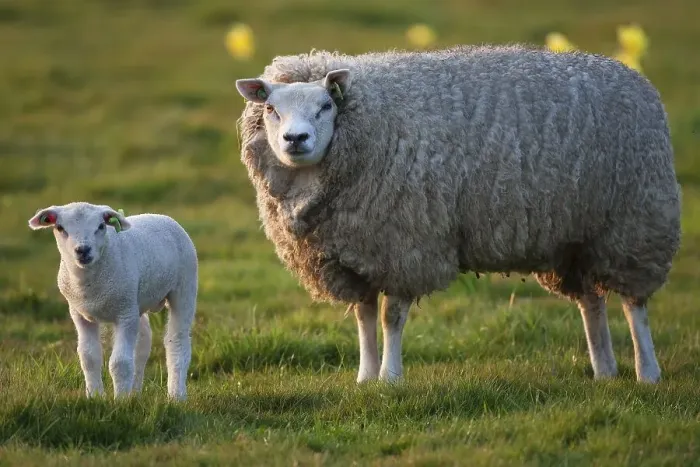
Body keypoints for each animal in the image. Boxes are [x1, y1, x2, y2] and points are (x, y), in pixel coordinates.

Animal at [28, 202, 198, 400]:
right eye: (60, 228)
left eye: (101, 226)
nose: (83, 250)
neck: (89, 287)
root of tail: (160, 216)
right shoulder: (80, 314)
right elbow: (89, 357)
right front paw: (95, 396)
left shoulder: (125, 314)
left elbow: (120, 363)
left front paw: (121, 401)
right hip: (135, 302)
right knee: (142, 343)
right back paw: (135, 392)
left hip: (184, 286)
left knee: (177, 341)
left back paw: (176, 396)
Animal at [234, 44, 682, 385]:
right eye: (271, 109)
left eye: (326, 105)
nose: (295, 139)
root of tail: (631, 75)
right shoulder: (352, 257)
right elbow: (364, 316)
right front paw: (365, 377)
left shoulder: (407, 246)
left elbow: (390, 317)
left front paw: (391, 378)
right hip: (576, 237)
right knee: (592, 302)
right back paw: (604, 370)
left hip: (637, 224)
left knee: (634, 306)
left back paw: (648, 373)